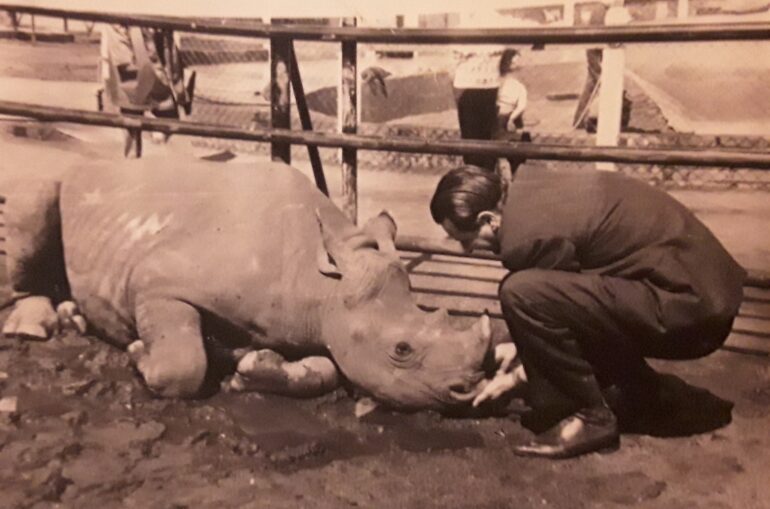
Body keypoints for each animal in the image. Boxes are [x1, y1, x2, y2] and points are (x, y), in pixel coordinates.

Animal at [1, 157, 493, 410]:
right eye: (401, 350)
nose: (468, 391)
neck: (323, 286)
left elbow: (326, 370)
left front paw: (251, 367)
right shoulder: (157, 281)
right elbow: (183, 364)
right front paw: (140, 352)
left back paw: (73, 316)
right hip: (55, 179)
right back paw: (34, 326)